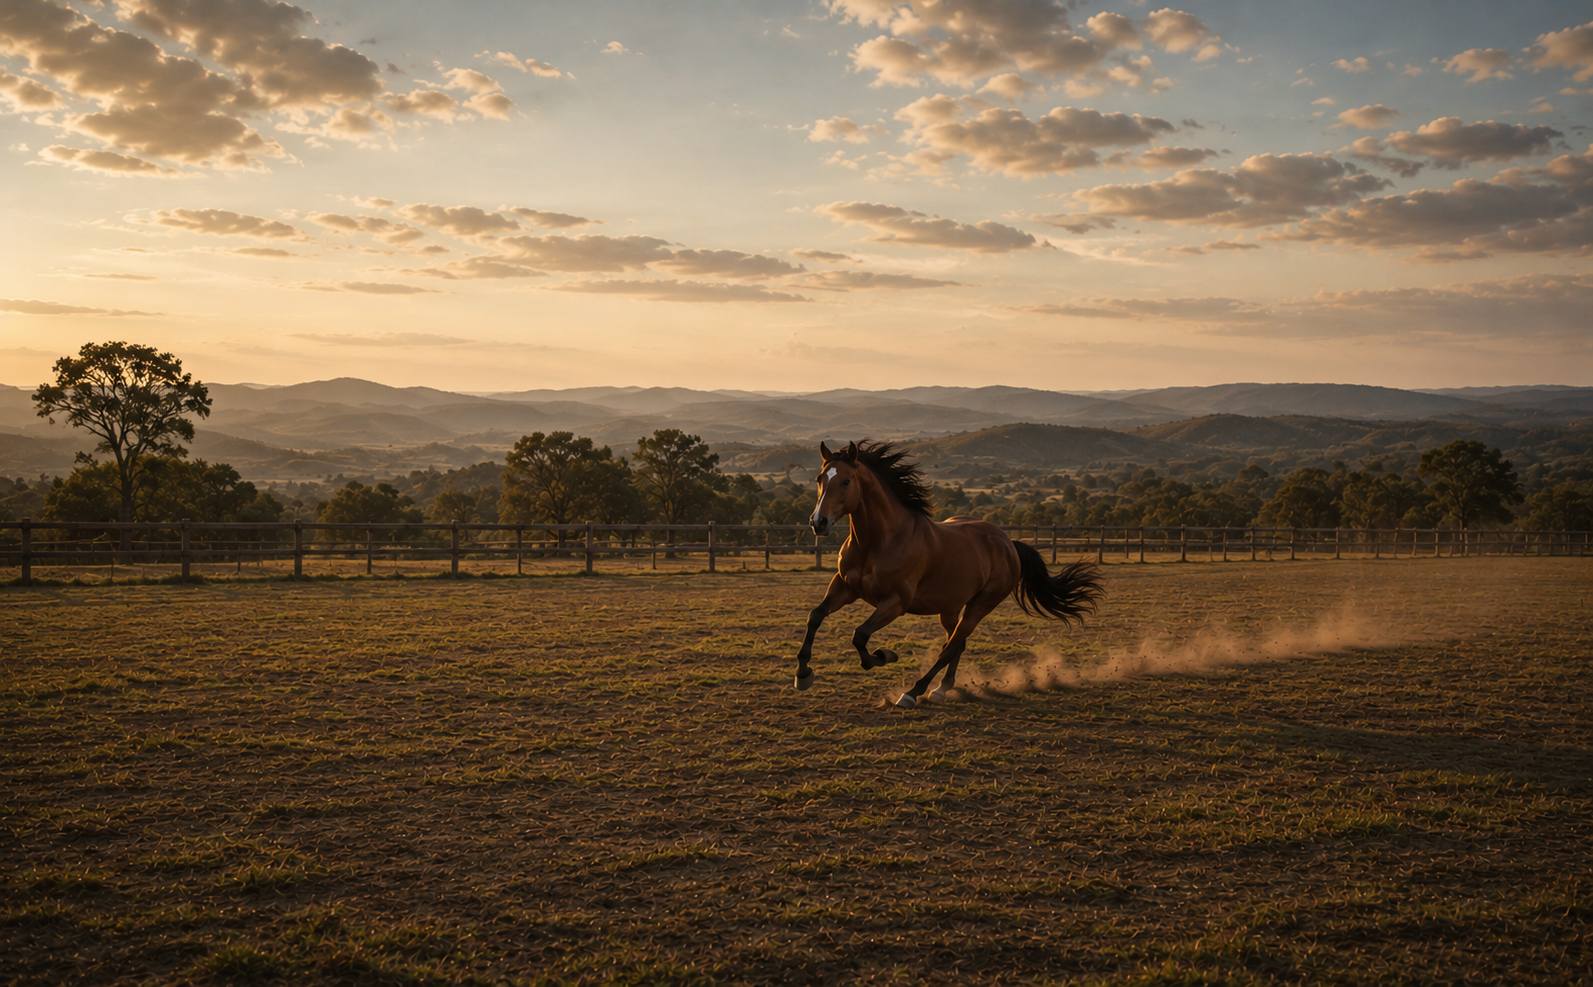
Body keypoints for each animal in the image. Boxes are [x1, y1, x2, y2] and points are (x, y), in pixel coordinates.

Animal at [793, 440, 1103, 708]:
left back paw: (913, 692)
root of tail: (1007, 543)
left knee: (951, 645)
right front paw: (803, 675)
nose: (818, 523)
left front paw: (884, 655)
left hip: (980, 606)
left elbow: (860, 635)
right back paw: (942, 689)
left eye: (846, 481)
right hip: (950, 607)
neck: (880, 541)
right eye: (819, 479)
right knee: (956, 643)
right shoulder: (844, 588)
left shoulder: (895, 602)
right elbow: (815, 616)